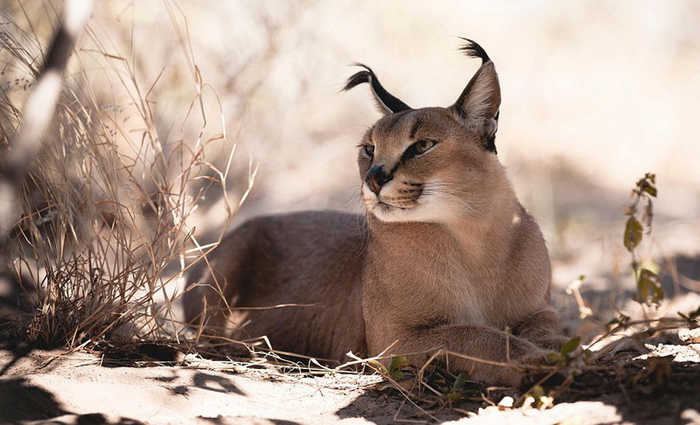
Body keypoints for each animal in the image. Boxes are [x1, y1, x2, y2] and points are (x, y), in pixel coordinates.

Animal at [186, 39, 564, 384]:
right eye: (369, 148)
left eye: (422, 145)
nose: (374, 177)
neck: (474, 238)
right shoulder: (395, 340)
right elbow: (470, 334)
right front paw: (534, 361)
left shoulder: (539, 308)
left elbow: (547, 329)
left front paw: (554, 351)